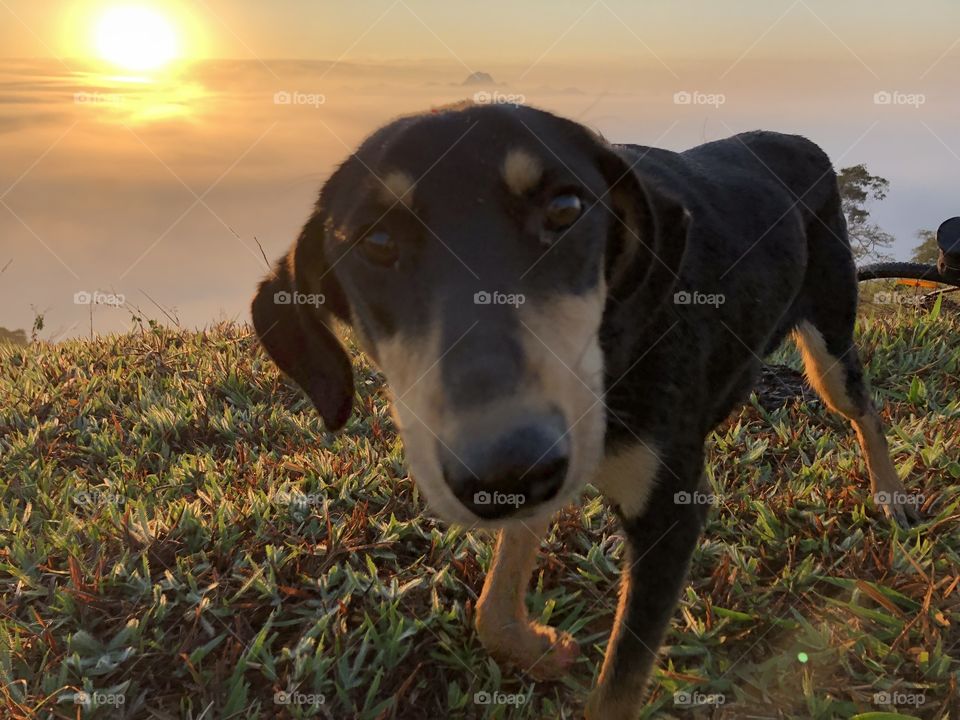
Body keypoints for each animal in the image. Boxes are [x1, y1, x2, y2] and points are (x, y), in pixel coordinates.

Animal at [253, 102, 924, 720]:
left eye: (566, 210)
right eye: (377, 242)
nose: (502, 463)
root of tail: (799, 140)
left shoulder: (664, 514)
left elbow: (618, 687)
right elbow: (492, 608)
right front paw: (541, 648)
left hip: (830, 343)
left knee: (866, 411)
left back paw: (891, 495)